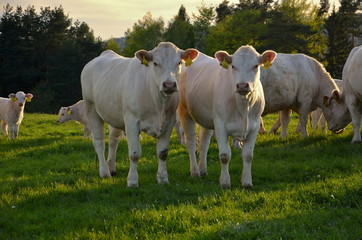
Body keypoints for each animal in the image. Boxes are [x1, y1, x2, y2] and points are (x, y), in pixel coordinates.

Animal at [80, 42, 198, 187]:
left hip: (115, 114)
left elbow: (163, 153)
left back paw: (111, 167)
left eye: (179, 62)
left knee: (113, 140)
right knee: (99, 142)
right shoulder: (131, 122)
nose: (169, 85)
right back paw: (105, 172)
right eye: (155, 63)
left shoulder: (168, 122)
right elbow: (134, 154)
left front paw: (163, 178)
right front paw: (132, 181)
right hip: (91, 108)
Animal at [179, 46, 278, 189]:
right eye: (233, 66)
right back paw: (195, 172)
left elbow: (248, 155)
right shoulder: (220, 125)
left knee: (204, 143)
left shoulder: (254, 126)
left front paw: (247, 182)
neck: (243, 106)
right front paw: (225, 182)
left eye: (255, 66)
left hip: (206, 118)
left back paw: (203, 169)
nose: (242, 85)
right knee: (191, 143)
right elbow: (225, 155)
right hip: (184, 112)